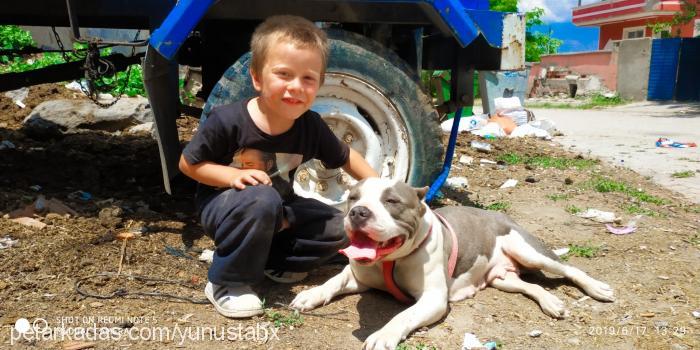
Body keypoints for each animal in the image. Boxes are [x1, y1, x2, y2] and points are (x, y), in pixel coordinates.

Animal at [290, 179, 612, 348]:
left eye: (391, 201)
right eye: (352, 197)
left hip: (528, 250)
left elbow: (403, 316)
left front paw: (383, 334)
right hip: (502, 279)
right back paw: (551, 302)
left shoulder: (433, 299)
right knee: (528, 286)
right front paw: (310, 294)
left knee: (568, 268)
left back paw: (597, 288)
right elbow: (333, 280)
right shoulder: (357, 276)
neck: (392, 261)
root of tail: (499, 215)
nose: (358, 212)